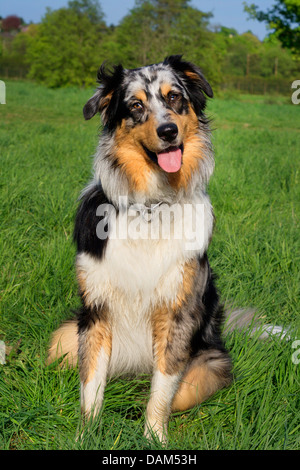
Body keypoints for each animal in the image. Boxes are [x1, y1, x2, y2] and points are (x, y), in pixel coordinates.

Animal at [47, 56, 270, 444]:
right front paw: (86, 435)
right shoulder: (96, 311)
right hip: (63, 339)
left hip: (214, 363)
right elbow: (91, 383)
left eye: (175, 97)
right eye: (135, 106)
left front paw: (153, 437)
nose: (168, 131)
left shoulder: (177, 313)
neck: (152, 205)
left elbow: (163, 390)